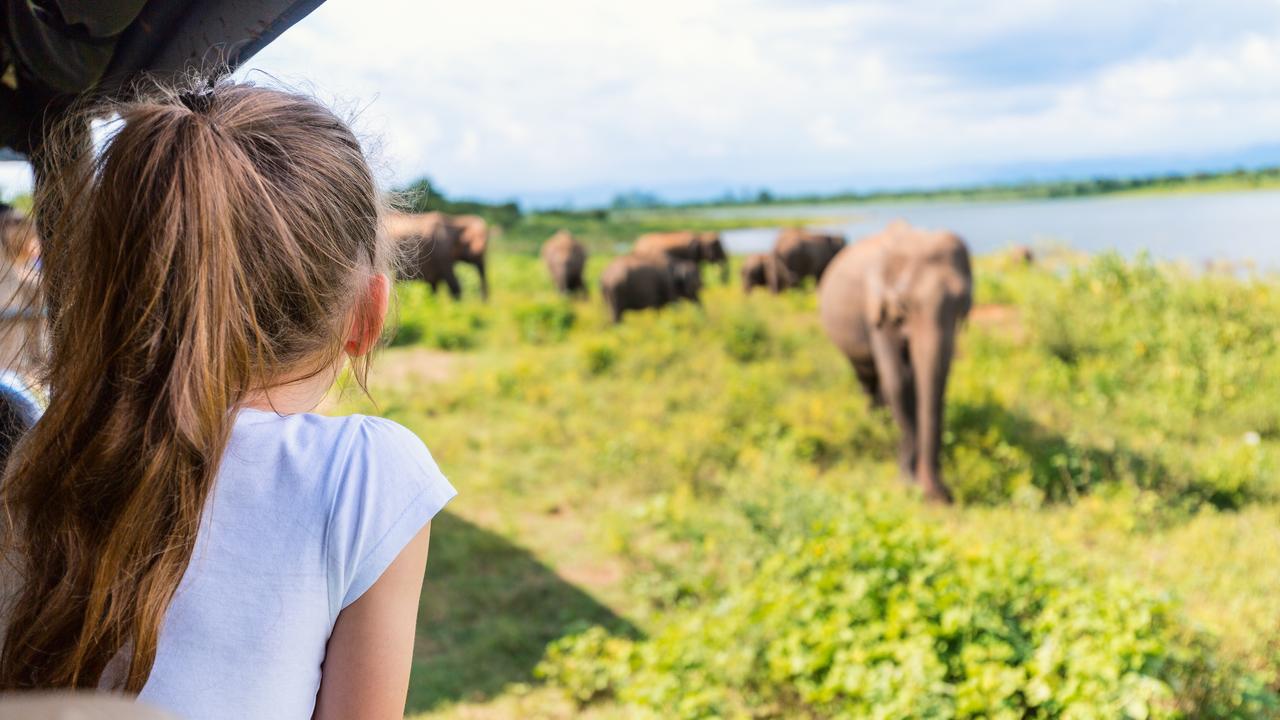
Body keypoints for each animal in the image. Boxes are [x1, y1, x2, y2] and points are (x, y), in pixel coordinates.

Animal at [817, 220, 973, 504]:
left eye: (963, 302)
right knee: (867, 376)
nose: (941, 495)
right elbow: (899, 381)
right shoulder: (877, 310)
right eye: (904, 303)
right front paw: (907, 482)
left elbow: (931, 382)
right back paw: (877, 421)